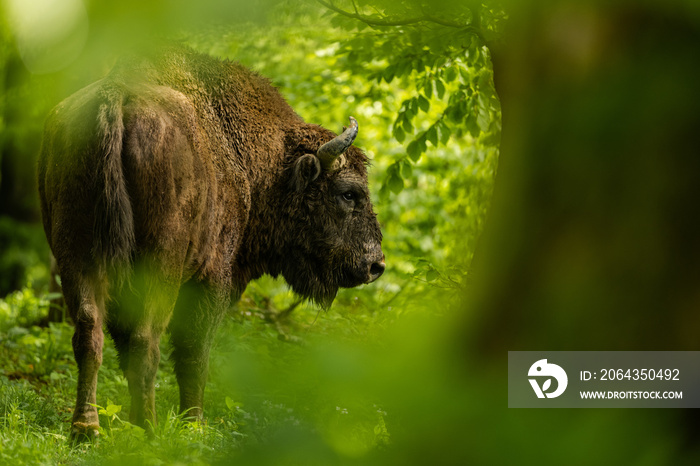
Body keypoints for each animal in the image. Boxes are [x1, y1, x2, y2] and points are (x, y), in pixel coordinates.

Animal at [36, 45, 386, 438]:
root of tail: (116, 99)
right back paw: (148, 429)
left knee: (90, 333)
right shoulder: (212, 279)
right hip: (161, 265)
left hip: (77, 256)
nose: (375, 265)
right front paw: (195, 425)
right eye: (348, 193)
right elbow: (195, 353)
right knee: (146, 340)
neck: (262, 165)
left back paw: (87, 429)